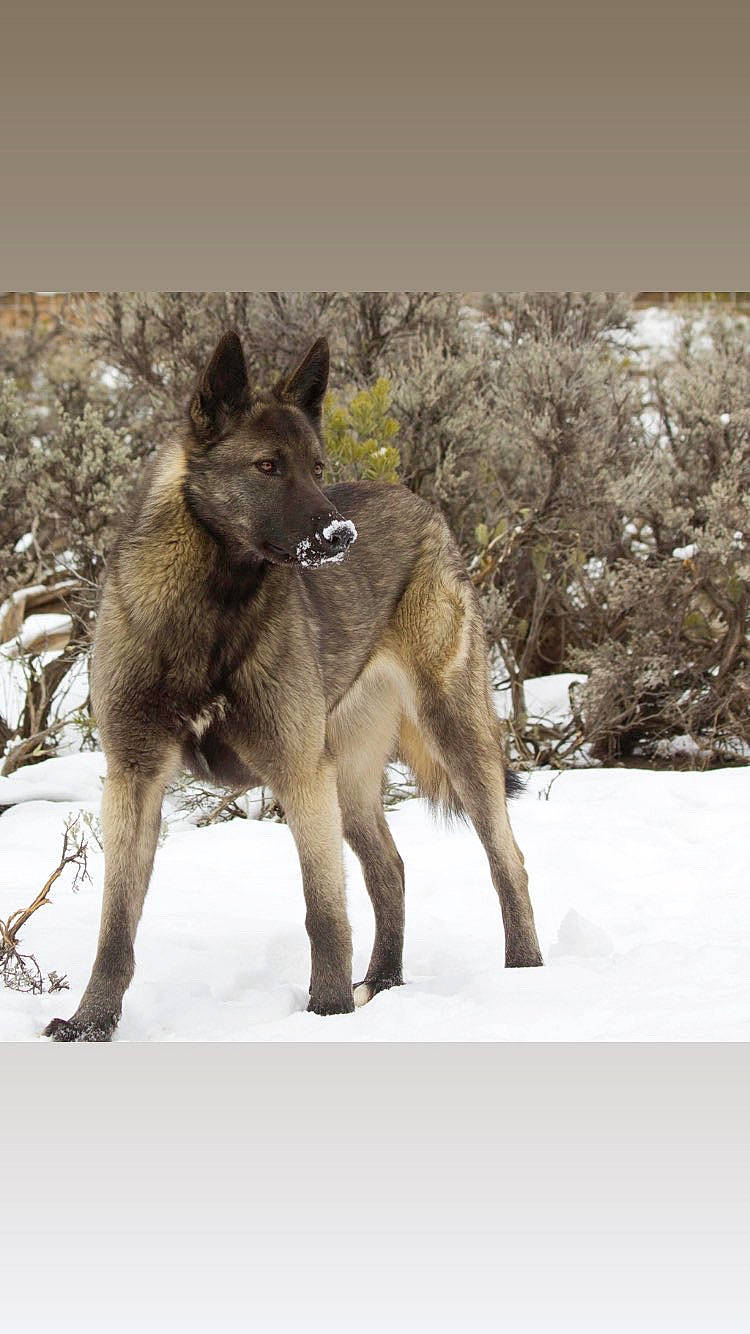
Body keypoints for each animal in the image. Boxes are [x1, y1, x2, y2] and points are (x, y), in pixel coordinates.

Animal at [44, 330, 542, 1040]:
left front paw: (327, 1013)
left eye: (316, 466)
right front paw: (90, 1026)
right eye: (267, 467)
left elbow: (323, 911)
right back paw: (383, 985)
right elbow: (116, 926)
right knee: (391, 870)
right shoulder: (134, 778)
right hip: (351, 781)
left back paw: (523, 979)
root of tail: (422, 504)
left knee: (509, 864)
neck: (212, 613)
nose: (340, 535)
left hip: (455, 742)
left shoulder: (298, 774)